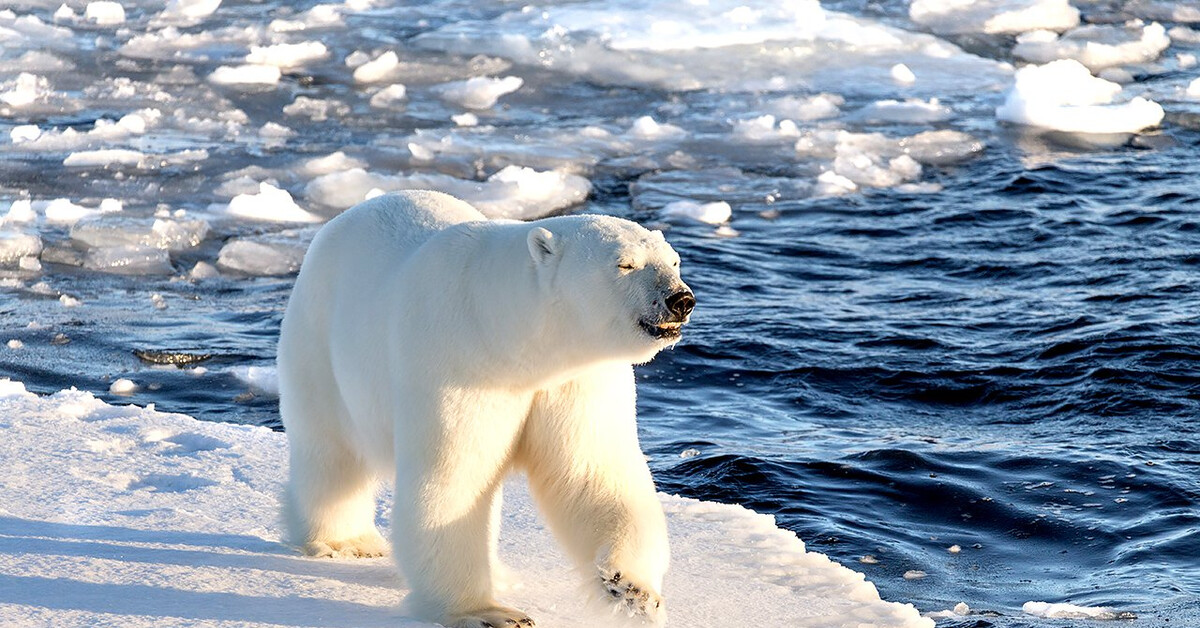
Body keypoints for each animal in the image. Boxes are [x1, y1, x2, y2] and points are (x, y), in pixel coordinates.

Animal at [276, 192, 696, 628]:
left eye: (673, 261)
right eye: (625, 264)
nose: (680, 300)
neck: (509, 335)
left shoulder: (575, 380)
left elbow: (592, 473)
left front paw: (632, 591)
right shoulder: (460, 364)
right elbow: (455, 478)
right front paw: (487, 613)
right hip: (318, 341)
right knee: (331, 453)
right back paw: (346, 541)